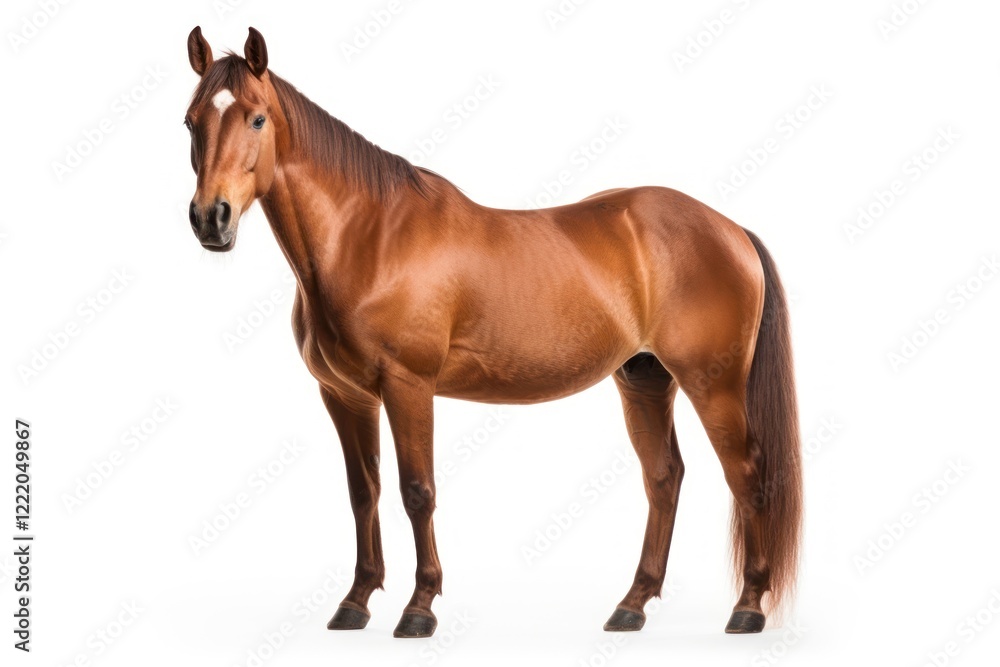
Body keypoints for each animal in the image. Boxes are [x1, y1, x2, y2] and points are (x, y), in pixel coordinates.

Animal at [182, 26, 802, 638]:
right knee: (664, 477)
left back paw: (747, 608)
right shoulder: (344, 395)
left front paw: (419, 608)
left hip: (712, 384)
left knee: (748, 475)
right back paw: (632, 606)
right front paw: (356, 601)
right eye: (191, 121)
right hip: (643, 378)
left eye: (257, 118)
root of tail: (730, 229)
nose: (211, 218)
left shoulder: (408, 387)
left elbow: (417, 492)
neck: (368, 236)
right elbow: (364, 493)